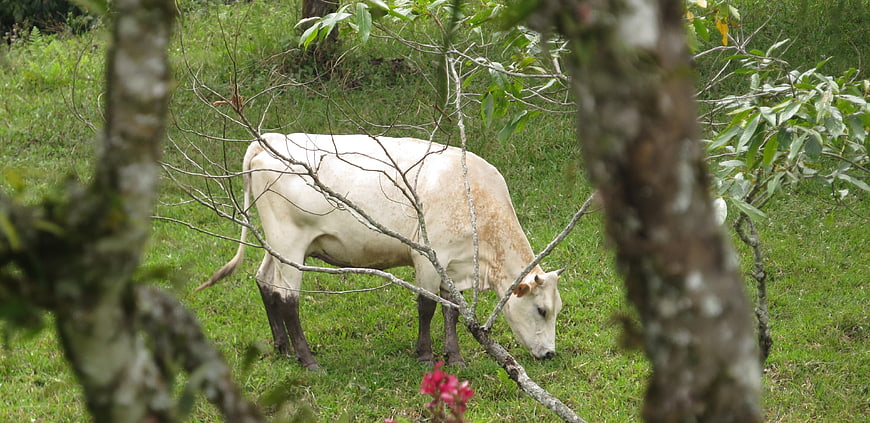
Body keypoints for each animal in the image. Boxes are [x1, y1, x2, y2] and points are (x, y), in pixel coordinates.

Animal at [195, 133, 565, 370]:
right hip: (290, 242)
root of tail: (265, 141)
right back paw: (307, 359)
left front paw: (455, 358)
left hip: (277, 246)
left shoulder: (452, 264)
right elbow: (427, 306)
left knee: (265, 283)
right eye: (542, 310)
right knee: (288, 298)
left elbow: (451, 311)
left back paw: (283, 348)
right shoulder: (427, 257)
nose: (550, 354)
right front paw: (425, 355)